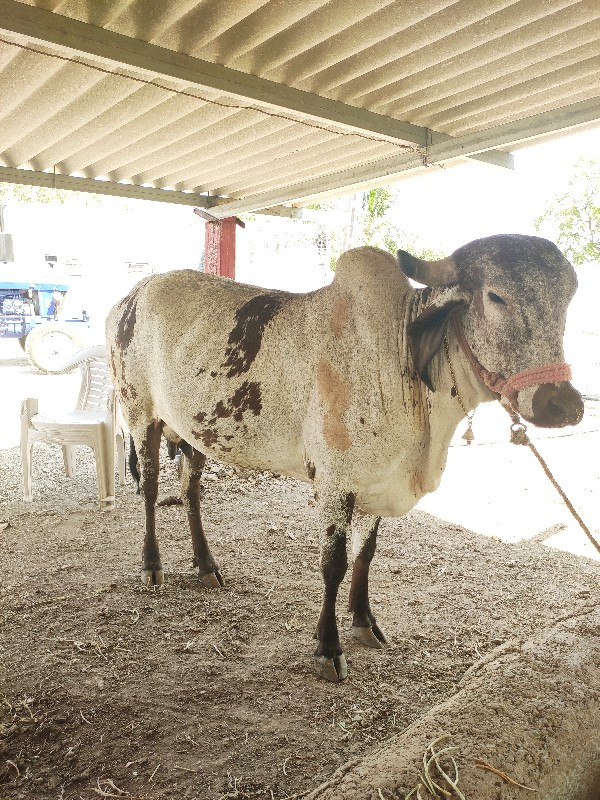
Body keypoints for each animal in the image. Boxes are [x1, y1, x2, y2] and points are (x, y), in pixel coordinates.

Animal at [106, 236, 580, 680]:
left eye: (569, 298)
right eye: (496, 296)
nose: (564, 404)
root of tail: (131, 296)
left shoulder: (378, 482)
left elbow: (364, 555)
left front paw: (364, 620)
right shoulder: (335, 483)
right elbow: (332, 565)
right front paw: (328, 646)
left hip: (195, 431)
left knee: (190, 491)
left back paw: (206, 565)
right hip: (139, 412)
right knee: (150, 489)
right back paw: (152, 566)